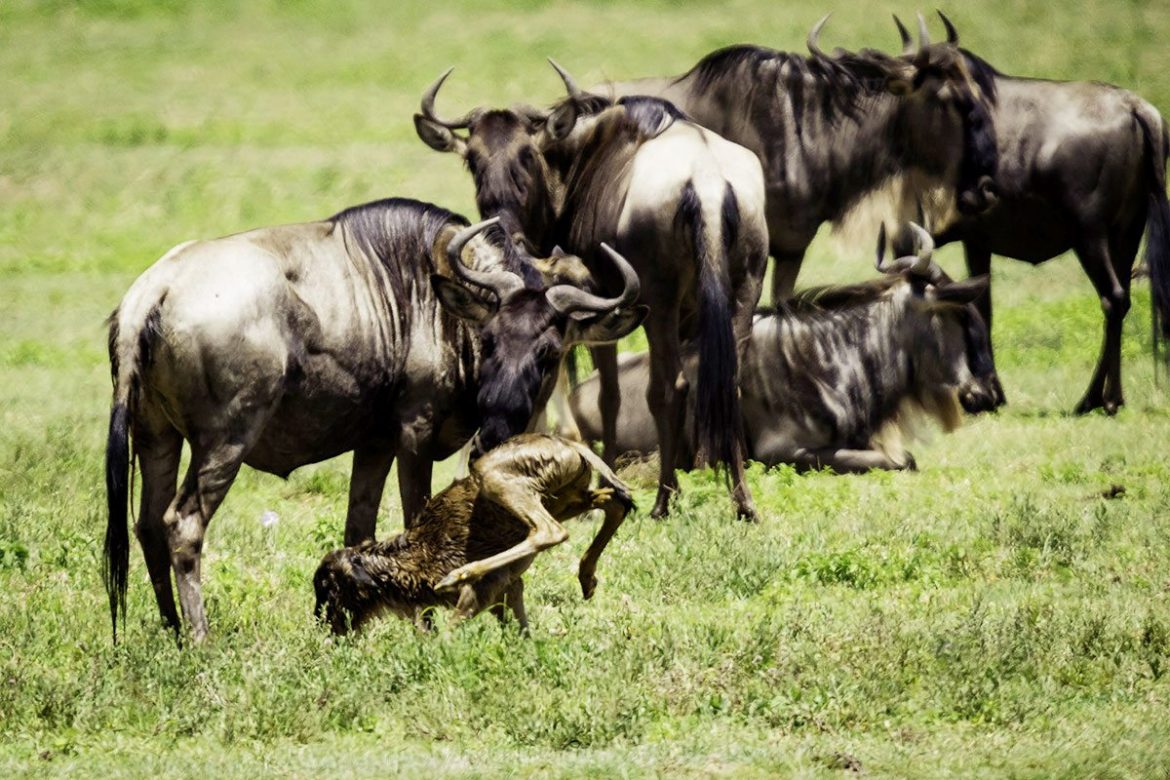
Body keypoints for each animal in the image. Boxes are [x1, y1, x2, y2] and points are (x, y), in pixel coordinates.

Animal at [313, 433, 634, 635]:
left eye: (327, 586)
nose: (322, 625)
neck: (414, 558)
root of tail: (570, 444)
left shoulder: (479, 595)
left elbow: (446, 636)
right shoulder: (509, 593)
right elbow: (522, 633)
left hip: (494, 476)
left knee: (551, 530)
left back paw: (459, 575)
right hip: (565, 499)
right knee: (613, 502)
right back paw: (587, 579)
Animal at [414, 66, 768, 521]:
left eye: (527, 156)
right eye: (471, 159)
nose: (503, 228)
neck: (589, 155)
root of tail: (706, 182)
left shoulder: (602, 306)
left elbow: (609, 398)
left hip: (660, 304)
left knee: (667, 389)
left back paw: (663, 501)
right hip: (744, 291)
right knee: (729, 386)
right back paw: (743, 502)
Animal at [570, 223, 994, 473]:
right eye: (960, 316)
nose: (986, 394)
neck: (827, 362)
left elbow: (904, 457)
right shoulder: (784, 452)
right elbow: (900, 460)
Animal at [894, 13, 1170, 415]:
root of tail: (1135, 106)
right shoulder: (975, 240)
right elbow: (982, 305)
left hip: (1090, 235)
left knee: (1113, 297)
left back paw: (1098, 399)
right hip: (1128, 232)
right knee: (1122, 299)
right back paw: (1103, 397)